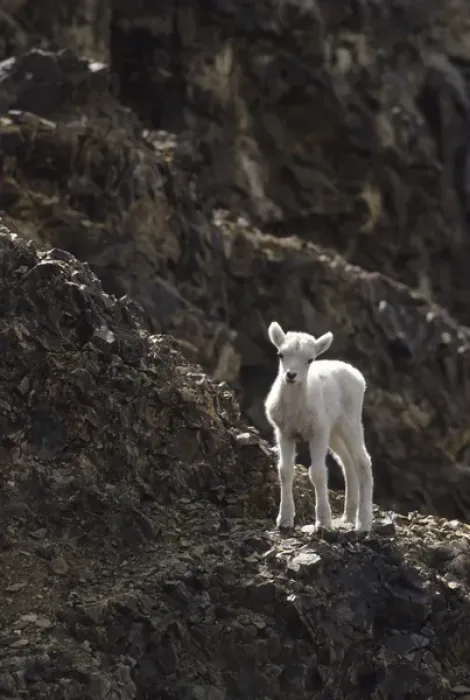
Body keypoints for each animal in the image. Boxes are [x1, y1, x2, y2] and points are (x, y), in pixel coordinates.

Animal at [264, 321, 374, 532]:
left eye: (310, 359)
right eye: (281, 354)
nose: (291, 375)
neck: (296, 410)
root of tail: (357, 375)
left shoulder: (318, 433)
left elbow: (318, 473)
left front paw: (323, 522)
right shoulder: (284, 433)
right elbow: (285, 471)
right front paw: (284, 520)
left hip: (350, 424)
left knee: (363, 462)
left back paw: (363, 523)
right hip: (335, 434)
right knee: (347, 463)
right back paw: (348, 516)